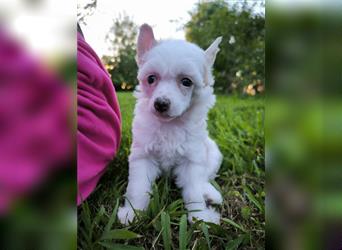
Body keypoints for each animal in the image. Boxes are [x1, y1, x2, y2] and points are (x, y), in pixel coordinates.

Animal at [118, 23, 224, 225]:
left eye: (186, 82)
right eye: (151, 79)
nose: (160, 104)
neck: (170, 124)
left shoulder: (192, 159)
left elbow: (194, 191)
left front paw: (200, 217)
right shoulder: (143, 156)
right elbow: (138, 187)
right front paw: (133, 213)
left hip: (213, 154)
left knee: (204, 178)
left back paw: (210, 194)